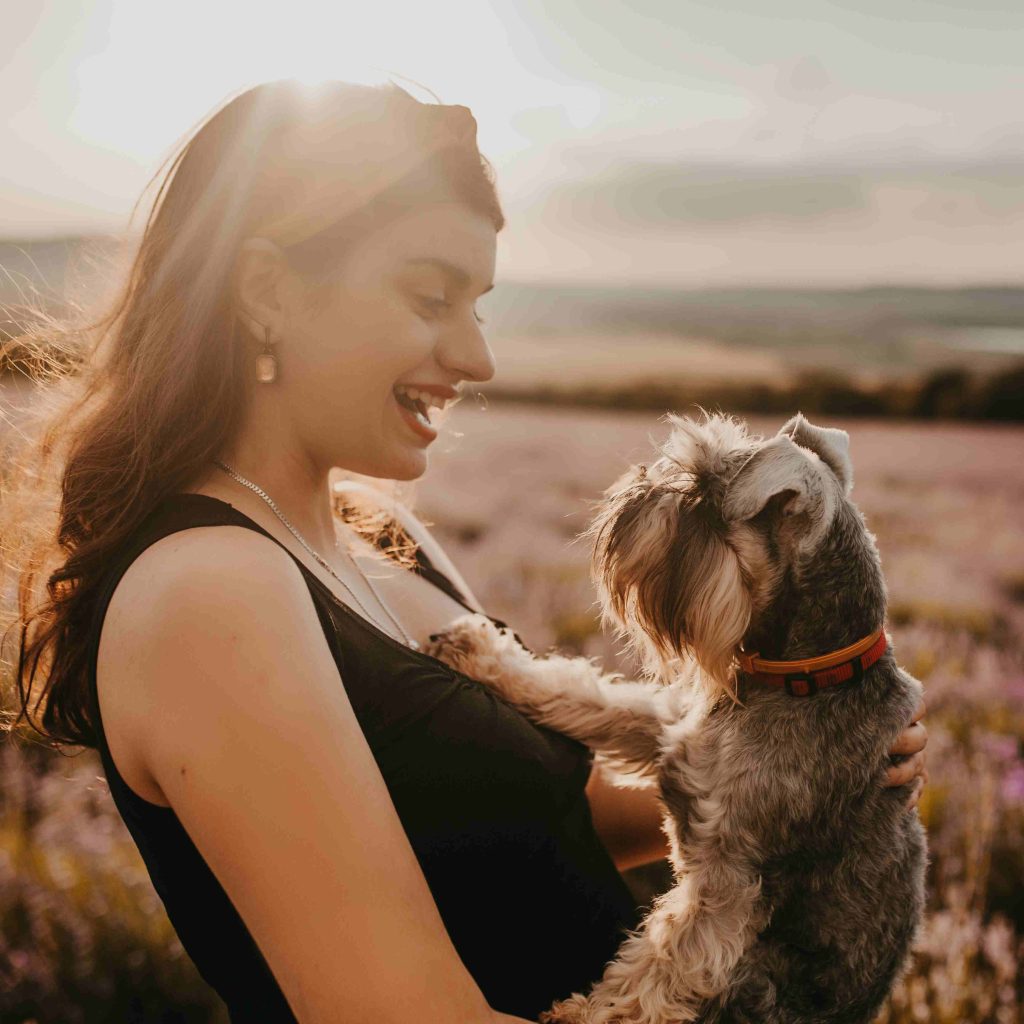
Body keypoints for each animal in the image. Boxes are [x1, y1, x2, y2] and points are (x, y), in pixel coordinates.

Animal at [423, 409, 929, 1024]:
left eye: (702, 493)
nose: (636, 488)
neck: (803, 673)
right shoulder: (669, 729)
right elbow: (588, 695)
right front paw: (483, 654)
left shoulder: (729, 880)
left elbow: (663, 964)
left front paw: (585, 1014)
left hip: (758, 986)